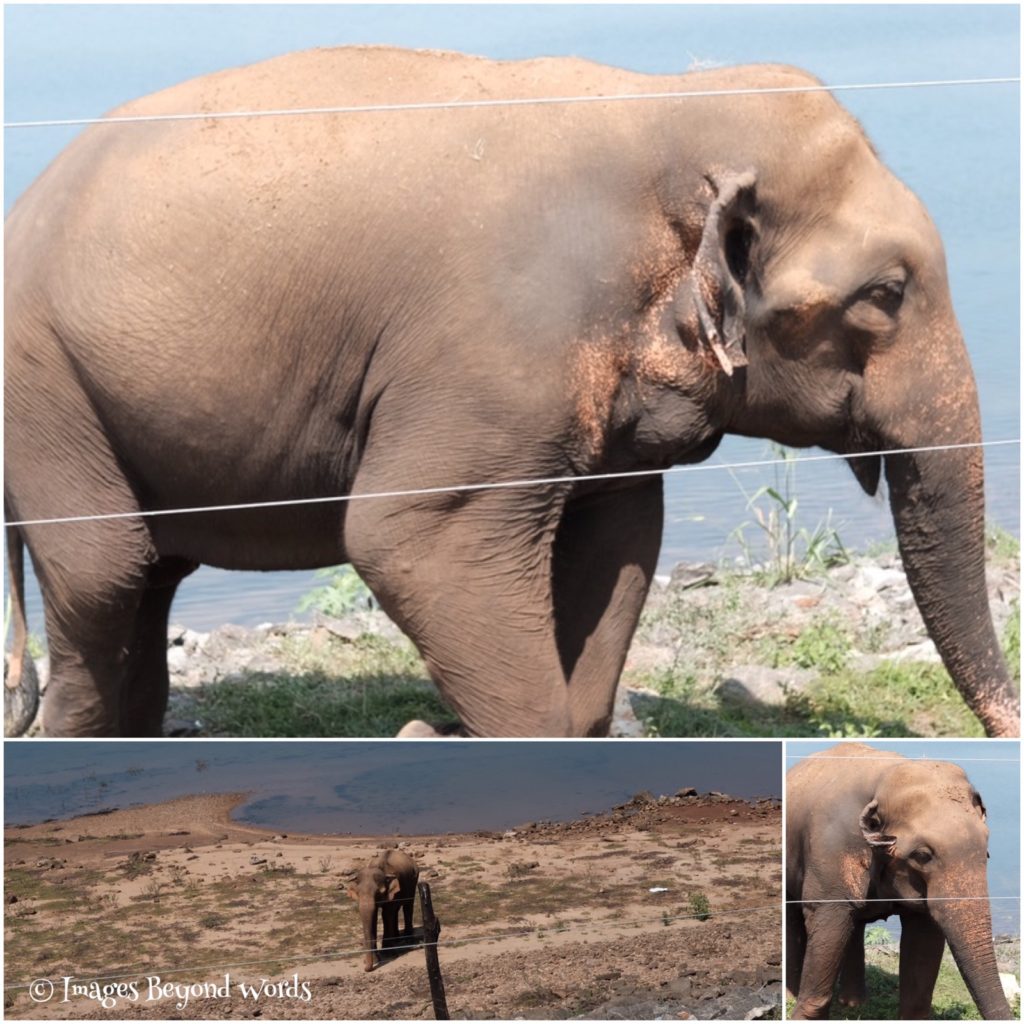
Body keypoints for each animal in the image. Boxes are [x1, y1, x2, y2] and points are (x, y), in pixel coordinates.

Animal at [4, 46, 1019, 737]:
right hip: (41, 388)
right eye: (886, 294)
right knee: (105, 573)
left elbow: (618, 541)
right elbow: (415, 538)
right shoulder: (494, 349)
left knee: (151, 579)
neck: (662, 104)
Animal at [786, 743, 1013, 1019]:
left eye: (986, 852)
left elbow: (924, 938)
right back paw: (793, 996)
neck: (884, 780)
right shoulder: (831, 846)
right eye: (922, 855)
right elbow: (829, 918)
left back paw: (853, 1004)